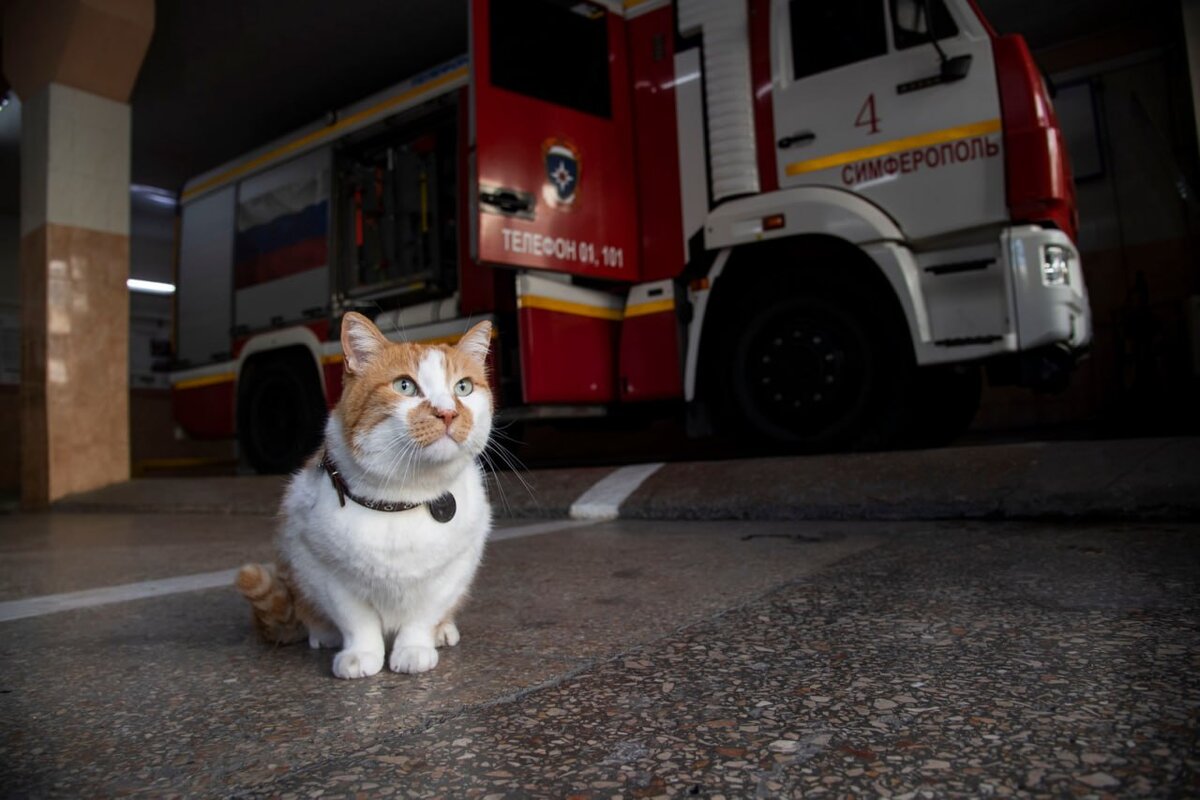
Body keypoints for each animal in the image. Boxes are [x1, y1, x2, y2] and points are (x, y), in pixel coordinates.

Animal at [238, 311, 492, 681]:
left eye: (463, 387)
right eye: (404, 386)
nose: (448, 412)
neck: (402, 499)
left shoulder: (455, 566)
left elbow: (423, 614)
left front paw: (415, 648)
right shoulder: (322, 567)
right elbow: (356, 620)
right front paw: (360, 655)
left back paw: (443, 630)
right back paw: (323, 633)